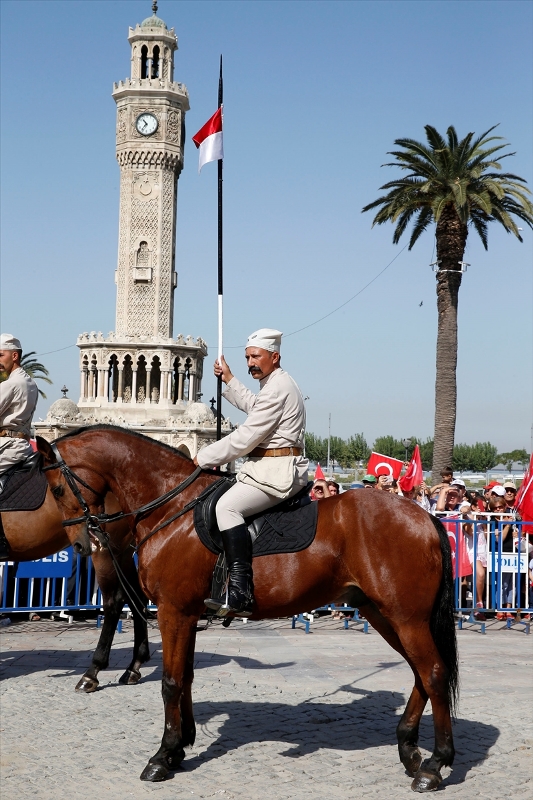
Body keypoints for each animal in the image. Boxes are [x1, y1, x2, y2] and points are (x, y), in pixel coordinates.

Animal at [3, 484, 150, 692]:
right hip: (122, 553)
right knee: (137, 597)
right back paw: (133, 667)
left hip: (106, 550)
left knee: (114, 602)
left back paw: (92, 672)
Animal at [39, 428, 460, 792]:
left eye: (57, 488)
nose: (82, 544)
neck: (172, 506)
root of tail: (424, 515)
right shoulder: (187, 615)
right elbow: (186, 677)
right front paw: (181, 747)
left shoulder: (174, 612)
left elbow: (171, 682)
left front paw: (162, 755)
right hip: (383, 614)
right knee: (420, 674)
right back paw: (408, 748)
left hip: (406, 618)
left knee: (434, 674)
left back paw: (435, 764)